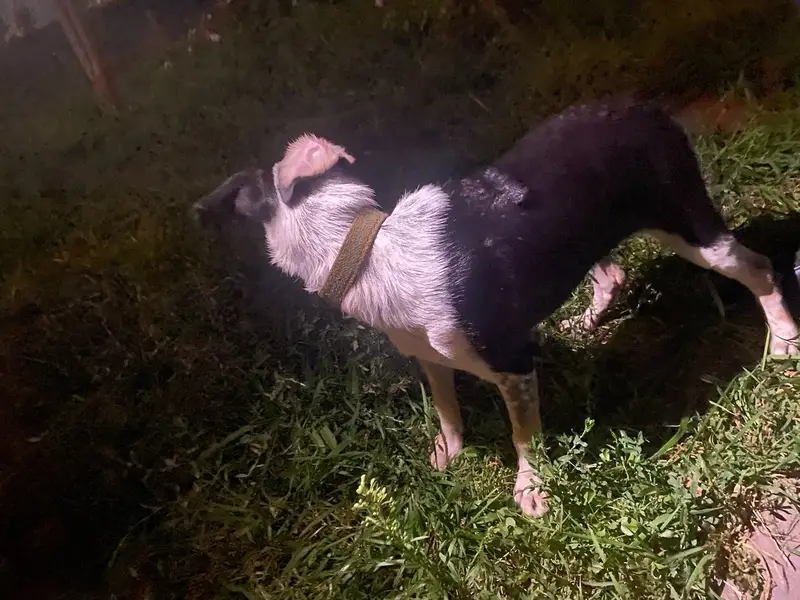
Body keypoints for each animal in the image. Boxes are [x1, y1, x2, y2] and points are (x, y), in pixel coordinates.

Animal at [193, 98, 799, 517]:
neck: (364, 247)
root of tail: (647, 108)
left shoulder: (513, 363)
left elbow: (522, 435)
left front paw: (532, 489)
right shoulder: (430, 357)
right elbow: (446, 407)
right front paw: (450, 452)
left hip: (688, 226)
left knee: (760, 267)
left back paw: (785, 341)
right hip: (582, 237)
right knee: (612, 273)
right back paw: (588, 320)